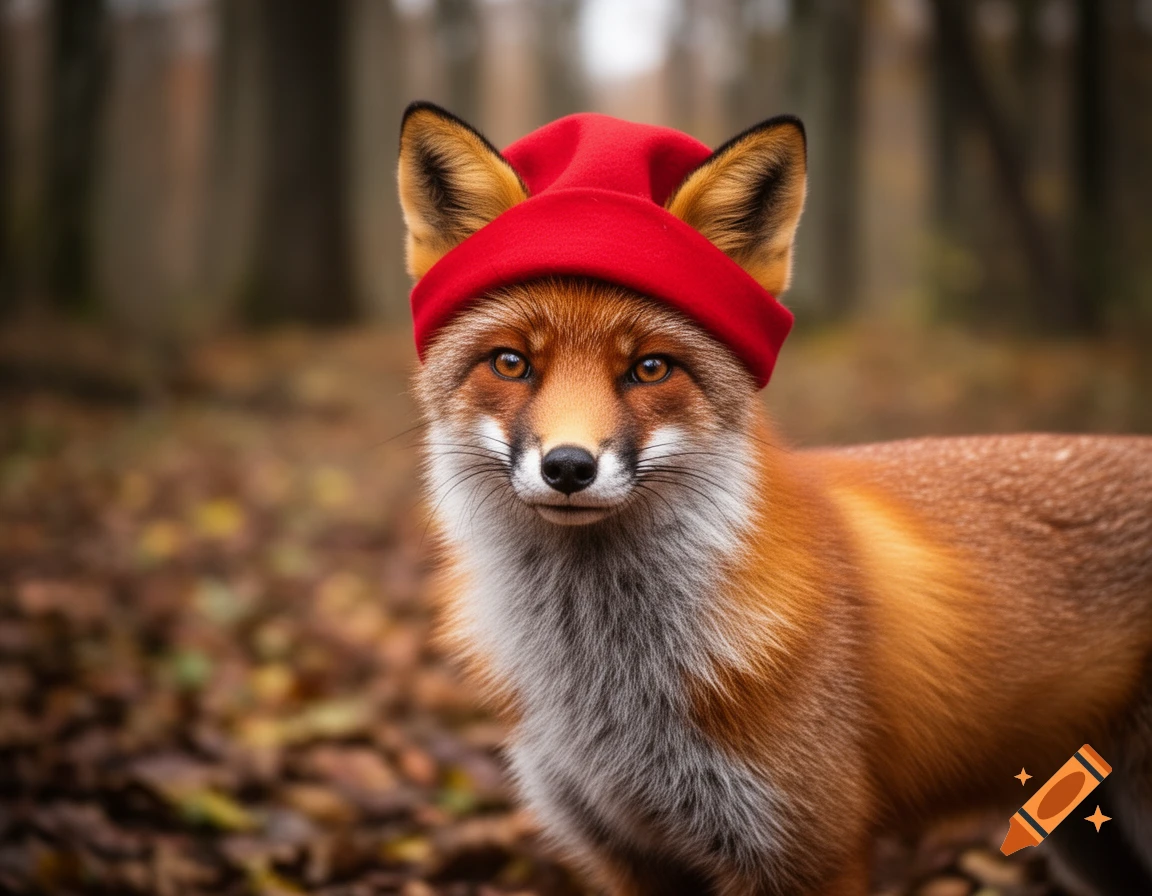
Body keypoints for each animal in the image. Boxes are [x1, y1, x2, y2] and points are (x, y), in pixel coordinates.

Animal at [397, 102, 1152, 896]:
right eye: (511, 362)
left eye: (650, 368)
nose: (568, 466)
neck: (612, 692)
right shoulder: (629, 851)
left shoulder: (807, 848)